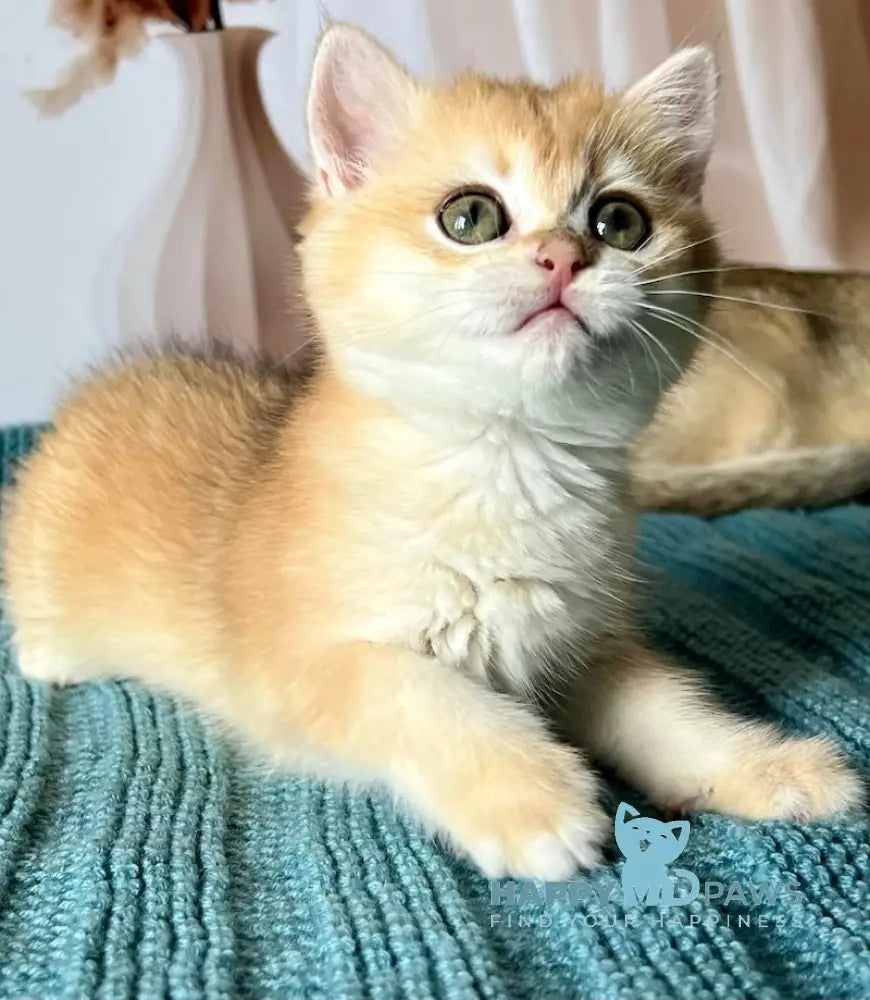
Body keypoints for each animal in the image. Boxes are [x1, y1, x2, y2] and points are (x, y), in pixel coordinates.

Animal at [1, 27, 864, 880]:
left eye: (620, 222)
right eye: (471, 216)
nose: (563, 257)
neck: (506, 456)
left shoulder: (583, 642)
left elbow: (667, 708)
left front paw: (764, 765)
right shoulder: (301, 668)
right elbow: (423, 692)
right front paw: (533, 796)